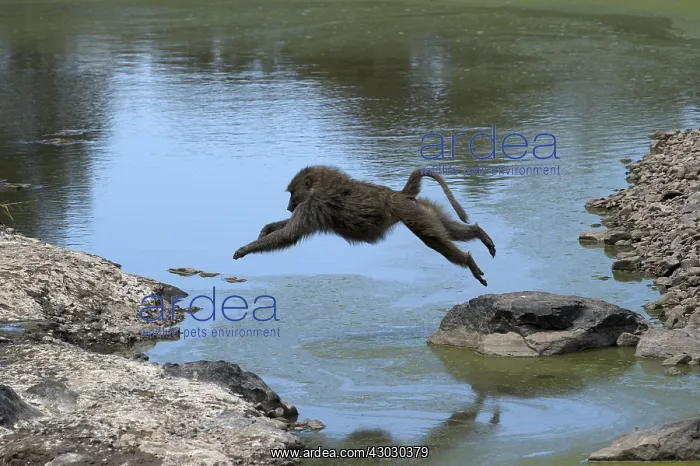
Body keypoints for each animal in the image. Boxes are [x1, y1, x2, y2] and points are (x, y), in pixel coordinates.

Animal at [233, 166, 496, 286]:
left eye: (291, 194)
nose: (288, 206)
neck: (319, 186)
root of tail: (399, 194)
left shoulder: (311, 206)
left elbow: (290, 235)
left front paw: (245, 249)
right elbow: (287, 230)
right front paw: (266, 229)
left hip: (411, 214)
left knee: (434, 240)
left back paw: (468, 262)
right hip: (422, 208)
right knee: (446, 230)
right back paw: (480, 234)